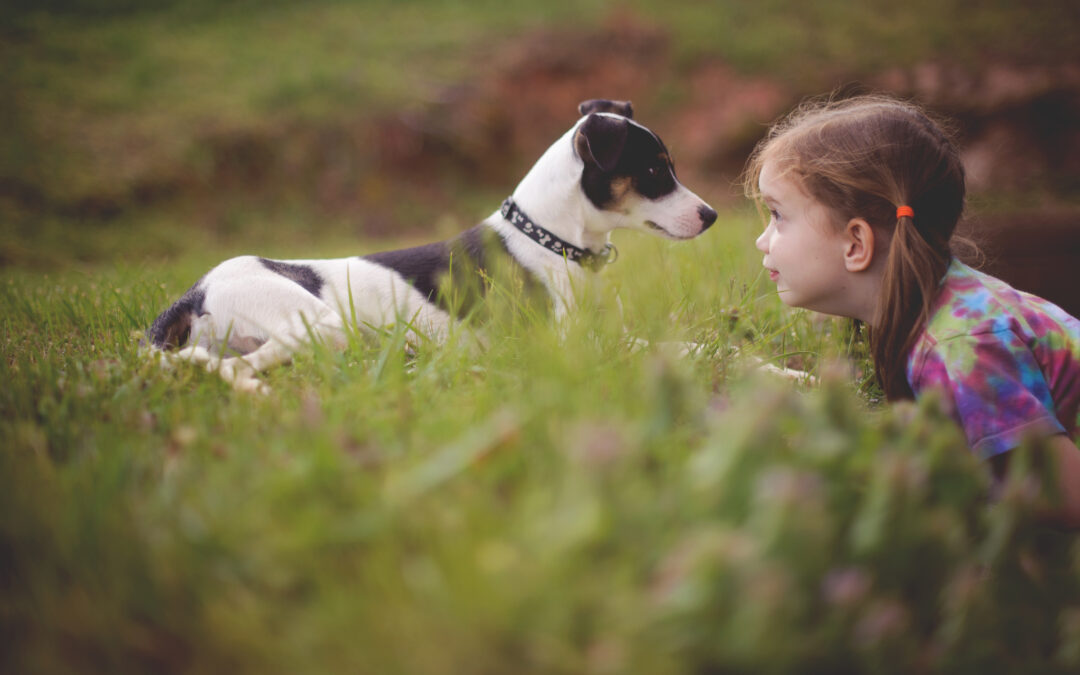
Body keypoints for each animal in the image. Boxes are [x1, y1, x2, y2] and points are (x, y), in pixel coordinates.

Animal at [145, 99, 717, 388]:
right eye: (655, 171)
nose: (712, 216)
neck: (553, 242)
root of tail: (194, 292)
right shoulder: (563, 346)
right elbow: (661, 347)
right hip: (317, 322)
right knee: (238, 368)